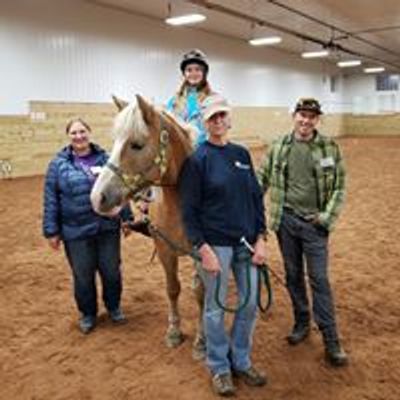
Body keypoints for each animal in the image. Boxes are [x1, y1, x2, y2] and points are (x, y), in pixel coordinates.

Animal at [91, 94, 206, 360]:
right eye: (115, 140)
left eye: (137, 144)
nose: (97, 197)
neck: (178, 205)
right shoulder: (164, 250)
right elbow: (173, 289)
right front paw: (174, 332)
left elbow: (200, 293)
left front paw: (201, 342)